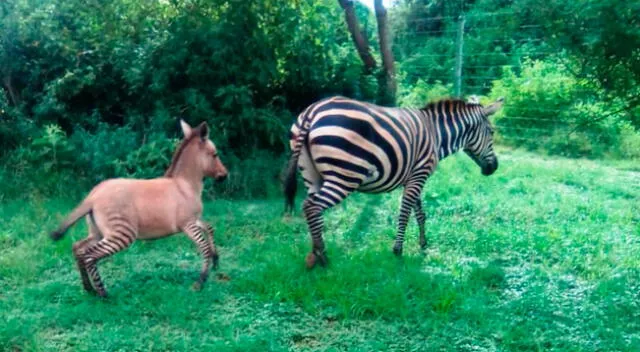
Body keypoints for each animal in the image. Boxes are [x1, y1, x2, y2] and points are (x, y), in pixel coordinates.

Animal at [284, 95, 504, 268]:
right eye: (492, 132)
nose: (494, 167)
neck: (437, 135)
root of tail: (313, 111)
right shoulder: (419, 174)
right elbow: (405, 213)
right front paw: (398, 250)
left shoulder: (414, 177)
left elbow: (420, 213)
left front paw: (423, 244)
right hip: (345, 176)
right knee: (312, 206)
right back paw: (323, 257)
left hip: (311, 175)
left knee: (313, 211)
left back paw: (315, 254)